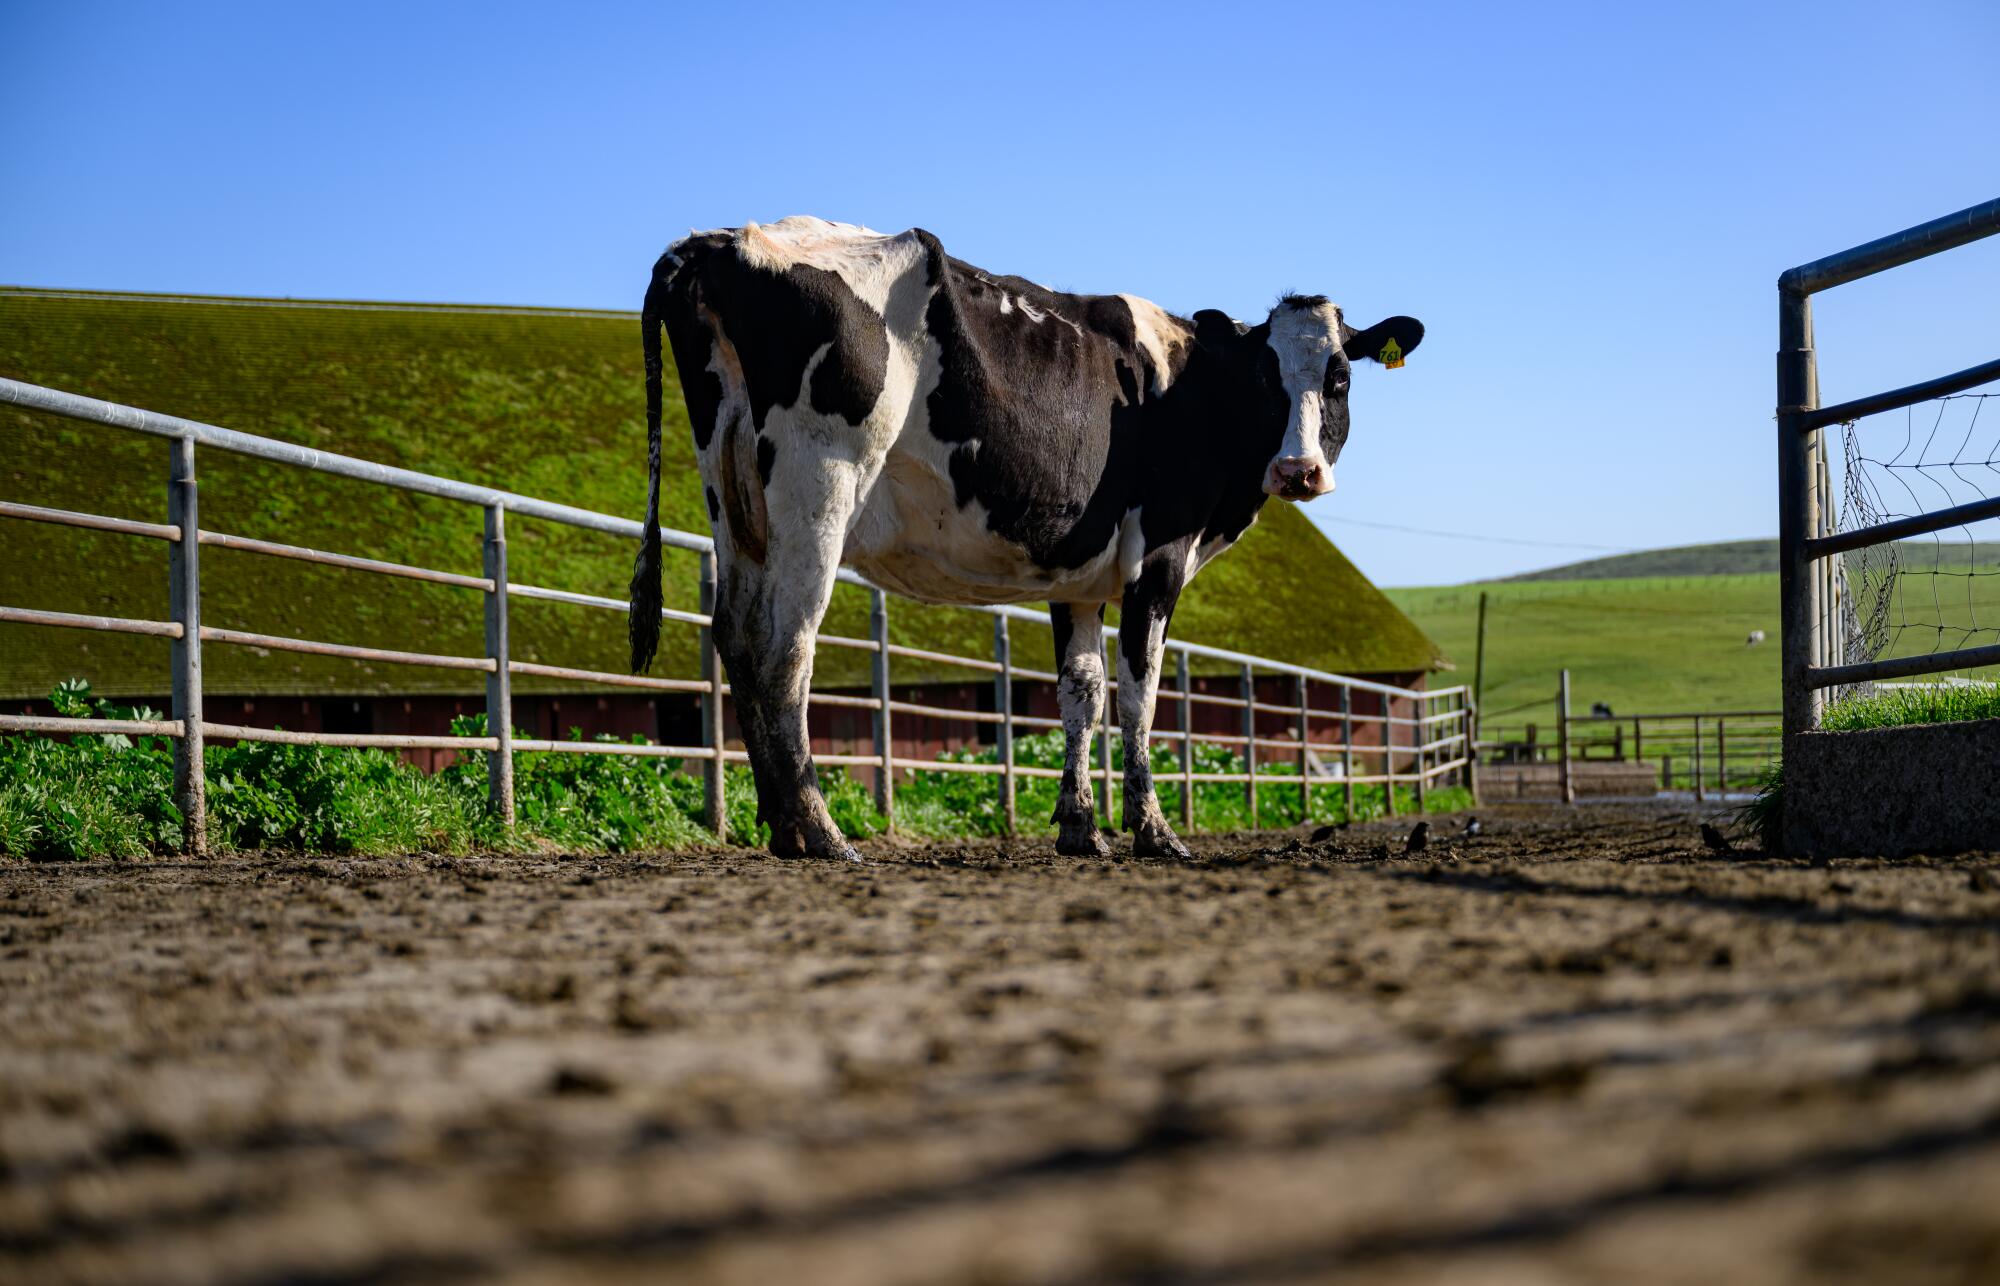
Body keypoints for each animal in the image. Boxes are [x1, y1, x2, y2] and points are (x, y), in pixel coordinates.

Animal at [624, 219, 1424, 864]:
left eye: (1340, 376)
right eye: (1265, 376)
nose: (1299, 470)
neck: (1190, 392)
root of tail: (719, 241)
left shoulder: (1078, 576)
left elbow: (1082, 693)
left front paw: (1080, 828)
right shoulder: (1159, 555)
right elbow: (1140, 694)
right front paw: (1153, 832)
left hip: (734, 496)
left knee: (734, 635)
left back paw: (783, 828)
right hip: (817, 486)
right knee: (786, 647)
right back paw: (821, 832)